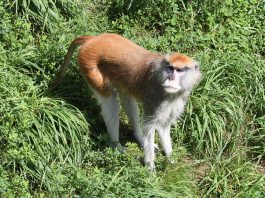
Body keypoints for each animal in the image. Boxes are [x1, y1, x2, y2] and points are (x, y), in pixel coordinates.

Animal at [53, 33, 200, 169]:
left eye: (179, 70)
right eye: (170, 68)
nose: (170, 78)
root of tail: (94, 38)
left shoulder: (176, 99)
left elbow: (163, 126)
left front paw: (170, 157)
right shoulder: (155, 97)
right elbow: (150, 125)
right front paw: (150, 166)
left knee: (127, 99)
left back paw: (139, 139)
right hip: (90, 67)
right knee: (111, 101)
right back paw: (117, 146)